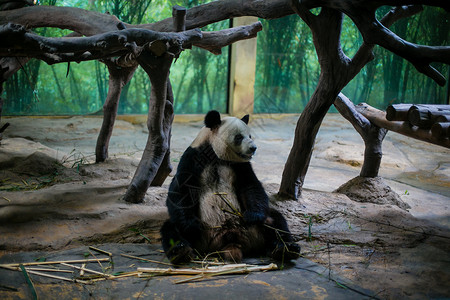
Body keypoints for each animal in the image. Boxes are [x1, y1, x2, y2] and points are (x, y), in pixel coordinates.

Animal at [160, 111, 300, 264]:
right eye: (239, 137)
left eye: (250, 136)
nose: (253, 148)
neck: (216, 154)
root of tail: (231, 242)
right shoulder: (193, 159)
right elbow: (181, 190)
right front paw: (193, 225)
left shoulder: (240, 165)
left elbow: (251, 186)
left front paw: (252, 215)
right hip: (202, 236)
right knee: (171, 229)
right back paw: (181, 251)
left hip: (256, 230)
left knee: (275, 221)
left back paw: (286, 249)